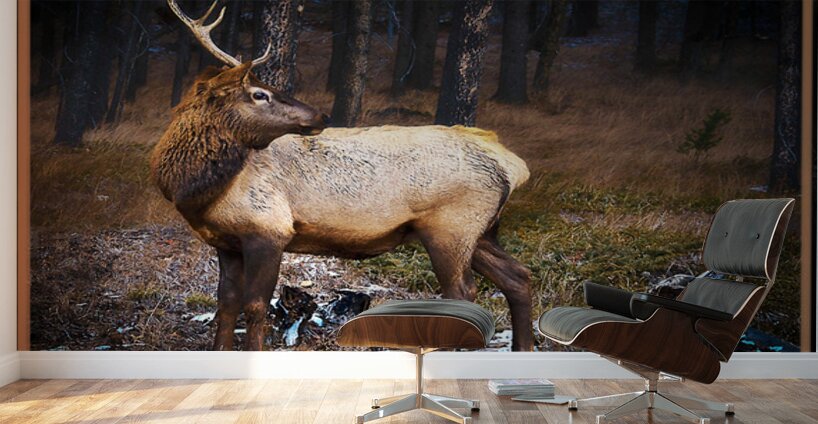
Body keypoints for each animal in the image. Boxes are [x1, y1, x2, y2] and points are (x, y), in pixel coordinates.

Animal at [153, 0, 534, 351]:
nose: (320, 115)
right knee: (519, 276)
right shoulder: (226, 242)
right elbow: (227, 304)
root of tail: (514, 164)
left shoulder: (269, 229)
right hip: (482, 230)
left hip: (451, 228)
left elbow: (256, 306)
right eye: (259, 94)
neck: (200, 193)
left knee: (464, 292)